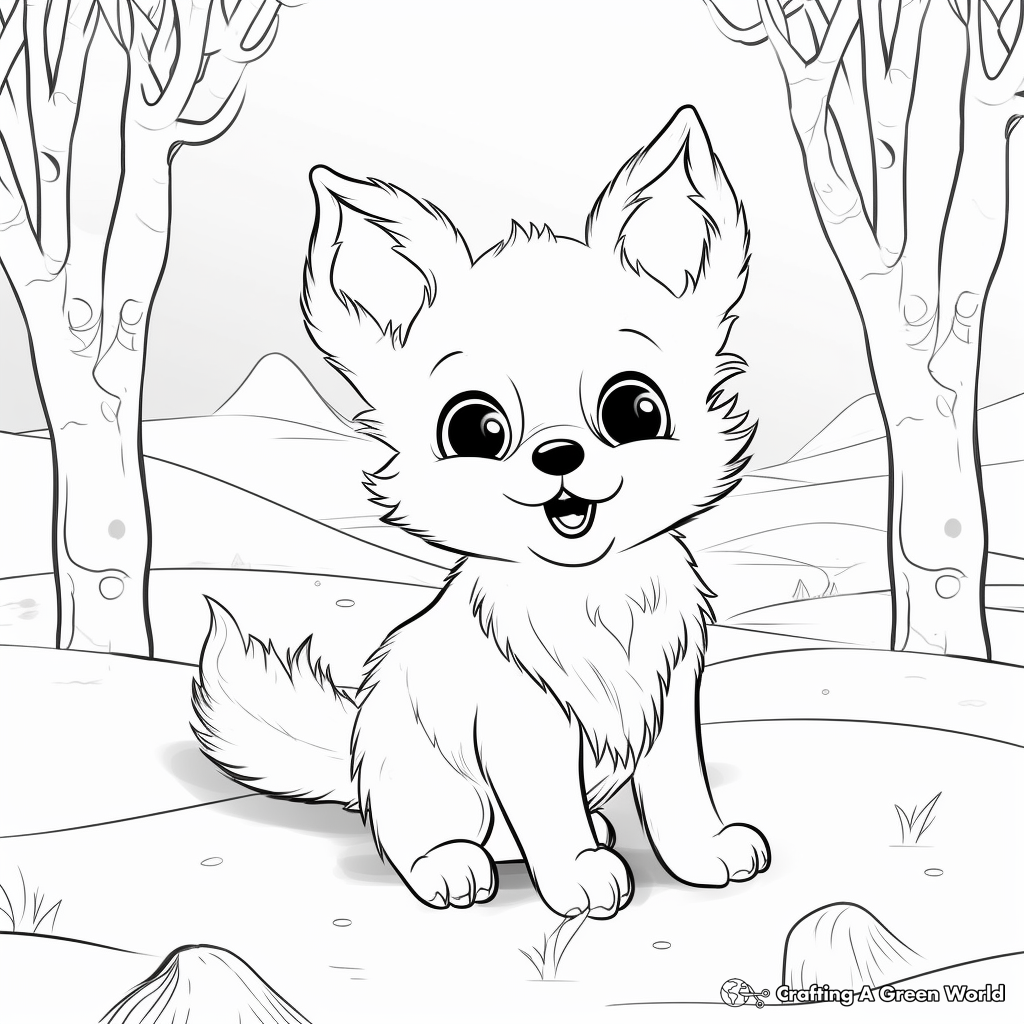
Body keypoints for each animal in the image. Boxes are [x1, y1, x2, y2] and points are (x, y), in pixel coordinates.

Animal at [192, 106, 769, 920]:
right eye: (475, 429)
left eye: (635, 409)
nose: (558, 454)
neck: (590, 593)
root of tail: (356, 762)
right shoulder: (523, 727)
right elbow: (548, 811)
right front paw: (579, 880)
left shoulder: (670, 703)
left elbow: (680, 789)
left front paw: (703, 853)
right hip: (431, 783)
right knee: (418, 836)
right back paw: (454, 866)